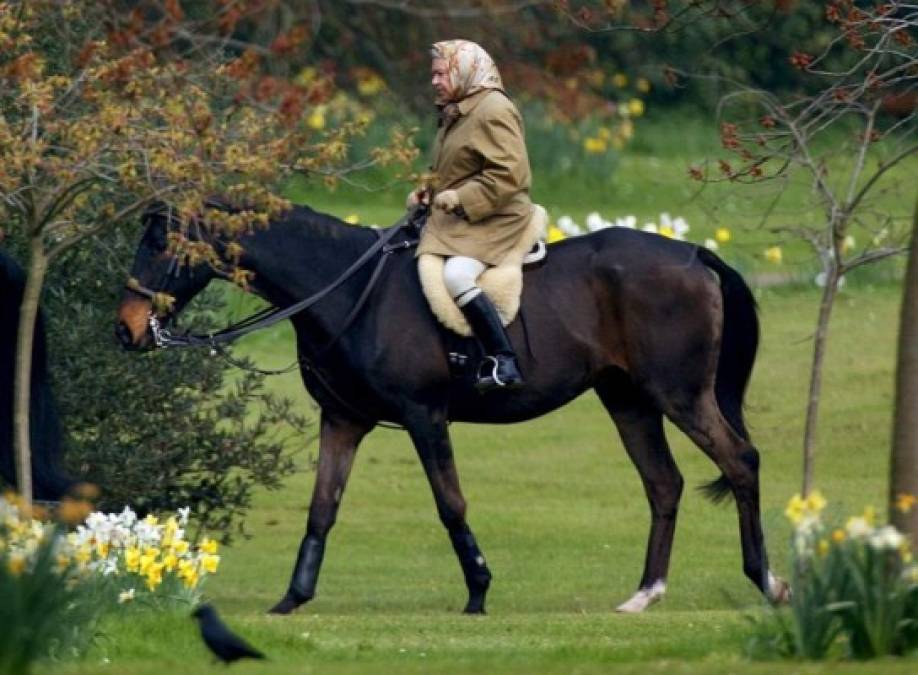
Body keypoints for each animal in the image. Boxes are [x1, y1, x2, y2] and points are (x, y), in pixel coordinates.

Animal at [115, 203, 792, 616]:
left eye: (160, 242)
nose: (126, 330)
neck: (350, 291)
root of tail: (694, 255)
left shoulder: (424, 416)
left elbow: (450, 504)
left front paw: (478, 591)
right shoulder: (343, 422)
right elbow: (322, 510)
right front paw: (292, 598)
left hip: (680, 395)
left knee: (741, 462)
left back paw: (767, 581)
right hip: (628, 401)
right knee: (663, 483)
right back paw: (644, 594)